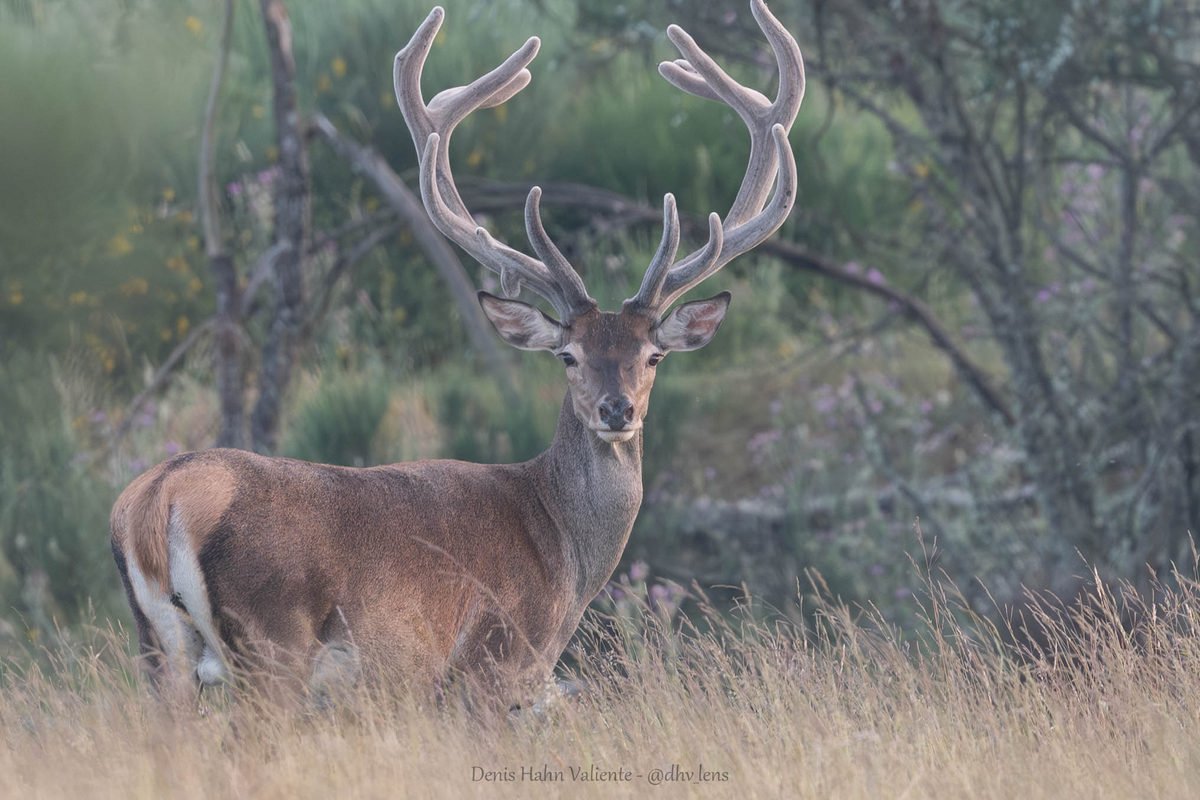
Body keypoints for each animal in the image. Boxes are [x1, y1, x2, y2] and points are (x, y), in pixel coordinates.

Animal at [109, 0, 803, 707]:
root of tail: (158, 499)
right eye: (568, 355)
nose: (618, 410)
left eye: (654, 355)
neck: (562, 553)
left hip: (161, 650)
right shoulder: (490, 663)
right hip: (271, 641)